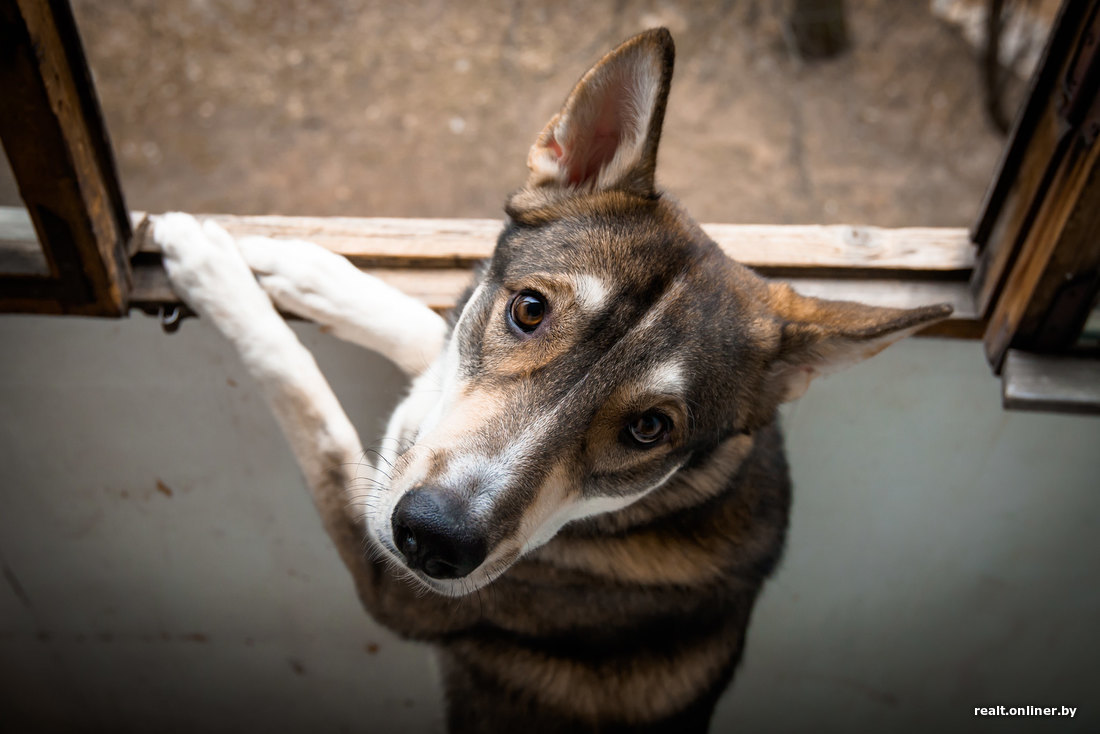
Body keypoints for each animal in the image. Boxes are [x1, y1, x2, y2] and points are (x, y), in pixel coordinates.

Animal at [150, 28, 950, 734]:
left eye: (648, 429)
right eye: (528, 310)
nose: (433, 540)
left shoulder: (384, 579)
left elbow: (311, 410)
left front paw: (214, 271)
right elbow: (424, 330)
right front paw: (306, 270)